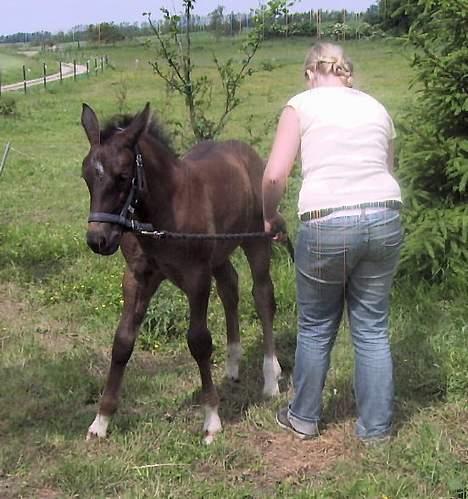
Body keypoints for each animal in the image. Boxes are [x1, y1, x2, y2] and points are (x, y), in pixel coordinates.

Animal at [79, 103, 282, 444]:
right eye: (85, 176)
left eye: (123, 177)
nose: (98, 240)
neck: (162, 212)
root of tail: (248, 154)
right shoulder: (137, 277)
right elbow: (122, 341)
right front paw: (101, 420)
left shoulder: (197, 278)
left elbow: (199, 342)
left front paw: (211, 419)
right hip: (219, 254)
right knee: (230, 288)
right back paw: (233, 364)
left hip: (256, 241)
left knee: (263, 295)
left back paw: (271, 378)